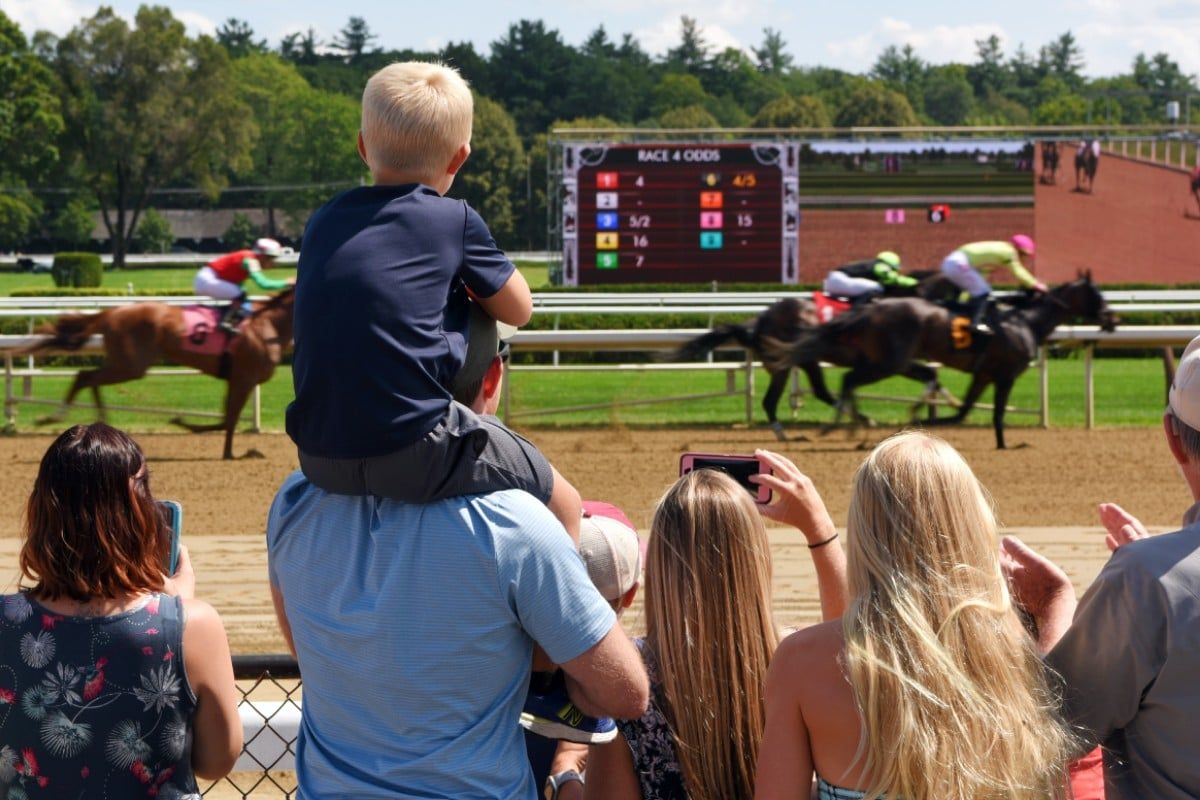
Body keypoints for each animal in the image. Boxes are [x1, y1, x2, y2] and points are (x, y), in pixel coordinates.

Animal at [28, 291, 295, 460]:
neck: (269, 325)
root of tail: (111, 313)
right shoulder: (244, 378)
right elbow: (229, 420)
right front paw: (230, 452)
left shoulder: (236, 379)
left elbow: (226, 418)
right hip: (131, 365)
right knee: (85, 376)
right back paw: (55, 417)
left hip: (125, 363)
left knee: (89, 377)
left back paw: (100, 423)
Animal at [772, 272, 1118, 450]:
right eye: (1098, 295)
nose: (1113, 319)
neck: (1024, 321)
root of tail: (869, 309)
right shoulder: (1005, 375)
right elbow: (992, 413)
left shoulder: (983, 375)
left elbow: (964, 411)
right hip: (891, 361)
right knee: (850, 380)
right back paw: (846, 428)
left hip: (895, 361)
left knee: (857, 380)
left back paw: (854, 428)